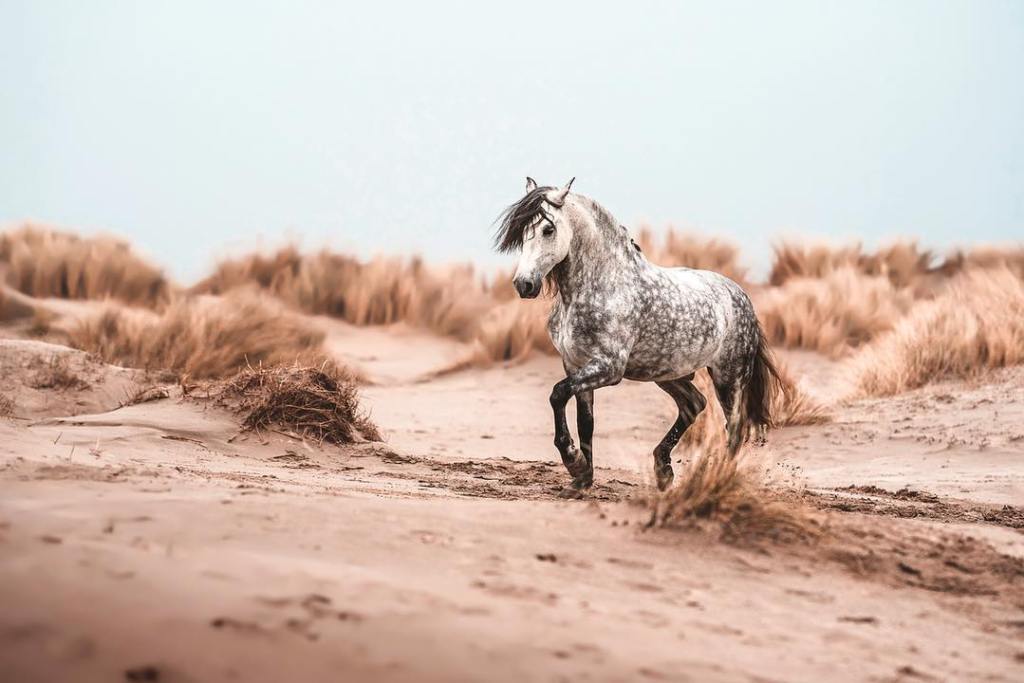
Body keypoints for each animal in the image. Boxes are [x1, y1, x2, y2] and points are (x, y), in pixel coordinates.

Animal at [495, 179, 782, 493]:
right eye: (522, 233)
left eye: (548, 229)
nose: (524, 284)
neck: (602, 286)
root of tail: (739, 295)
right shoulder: (576, 366)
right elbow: (586, 422)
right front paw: (582, 479)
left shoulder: (609, 368)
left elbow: (558, 394)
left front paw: (573, 461)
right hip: (666, 373)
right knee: (694, 404)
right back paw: (663, 470)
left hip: (728, 378)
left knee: (734, 427)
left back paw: (717, 477)